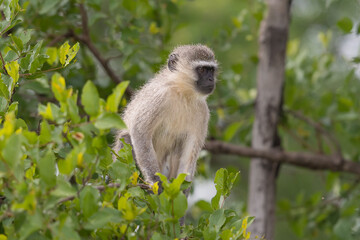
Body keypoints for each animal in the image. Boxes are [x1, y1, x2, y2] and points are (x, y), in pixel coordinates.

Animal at [114, 44, 218, 191]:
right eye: (202, 69)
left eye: (211, 70)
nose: (211, 79)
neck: (183, 93)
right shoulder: (160, 97)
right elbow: (139, 131)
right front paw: (156, 182)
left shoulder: (203, 112)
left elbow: (189, 153)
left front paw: (182, 193)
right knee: (126, 137)